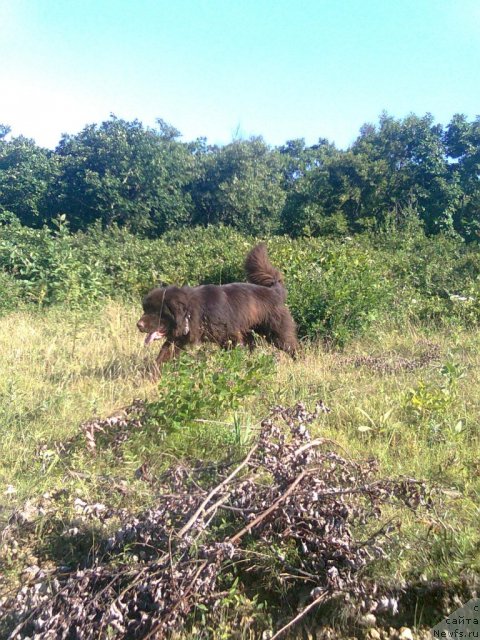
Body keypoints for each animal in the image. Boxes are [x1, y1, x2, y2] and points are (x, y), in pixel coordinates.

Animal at [137, 244, 298, 368]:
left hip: (277, 333)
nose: (138, 325)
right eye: (146, 309)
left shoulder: (230, 336)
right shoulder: (180, 337)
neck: (190, 312)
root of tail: (275, 291)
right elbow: (165, 352)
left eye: (157, 311)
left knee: (293, 348)